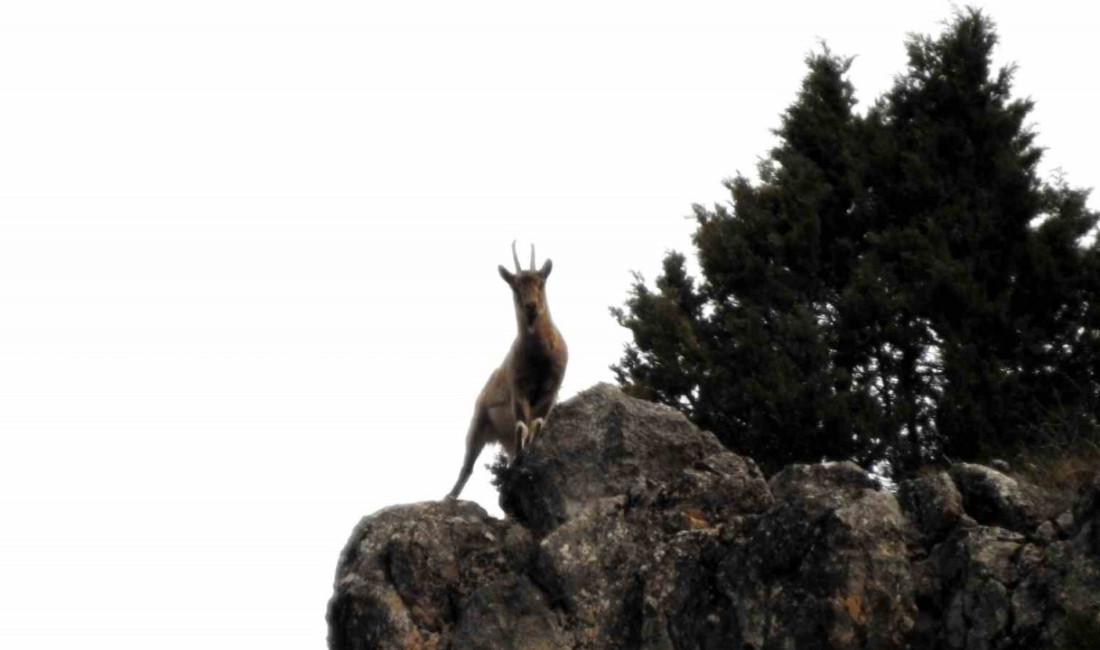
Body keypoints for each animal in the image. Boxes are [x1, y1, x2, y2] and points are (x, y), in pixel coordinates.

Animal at [444, 241, 567, 501]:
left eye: (541, 282)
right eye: (515, 286)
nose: (531, 307)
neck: (539, 358)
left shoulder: (550, 392)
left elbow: (535, 426)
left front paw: (527, 461)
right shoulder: (518, 390)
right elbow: (522, 425)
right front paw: (521, 465)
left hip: (505, 437)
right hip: (479, 422)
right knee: (467, 465)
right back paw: (450, 496)